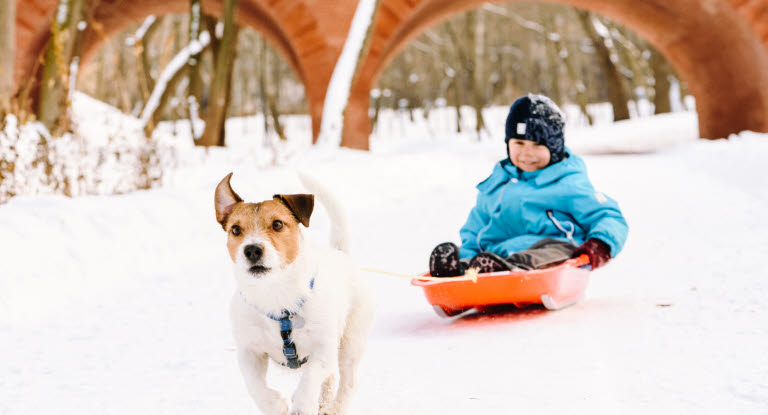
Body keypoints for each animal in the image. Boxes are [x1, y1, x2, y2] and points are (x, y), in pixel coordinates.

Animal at [214, 173, 374, 415]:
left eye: (278, 224)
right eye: (235, 229)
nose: (252, 250)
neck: (275, 294)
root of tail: (340, 254)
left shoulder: (323, 349)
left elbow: (310, 377)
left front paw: (302, 404)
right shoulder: (249, 353)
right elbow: (254, 385)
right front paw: (275, 405)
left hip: (351, 343)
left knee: (348, 382)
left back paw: (334, 408)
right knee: (330, 379)